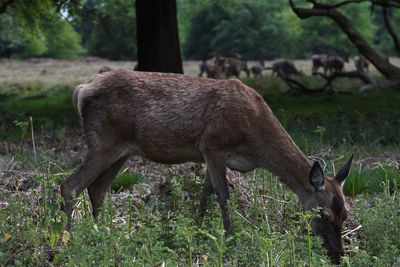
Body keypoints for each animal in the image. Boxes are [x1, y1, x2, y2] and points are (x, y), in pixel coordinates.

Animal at [60, 69, 354, 266]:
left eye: (346, 214)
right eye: (324, 214)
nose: (338, 256)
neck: (256, 142)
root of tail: (81, 90)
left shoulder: (209, 155)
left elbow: (205, 194)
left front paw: (197, 231)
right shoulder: (213, 145)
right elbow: (223, 196)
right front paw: (231, 239)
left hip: (121, 150)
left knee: (97, 189)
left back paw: (104, 235)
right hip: (103, 142)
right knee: (70, 186)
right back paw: (70, 240)